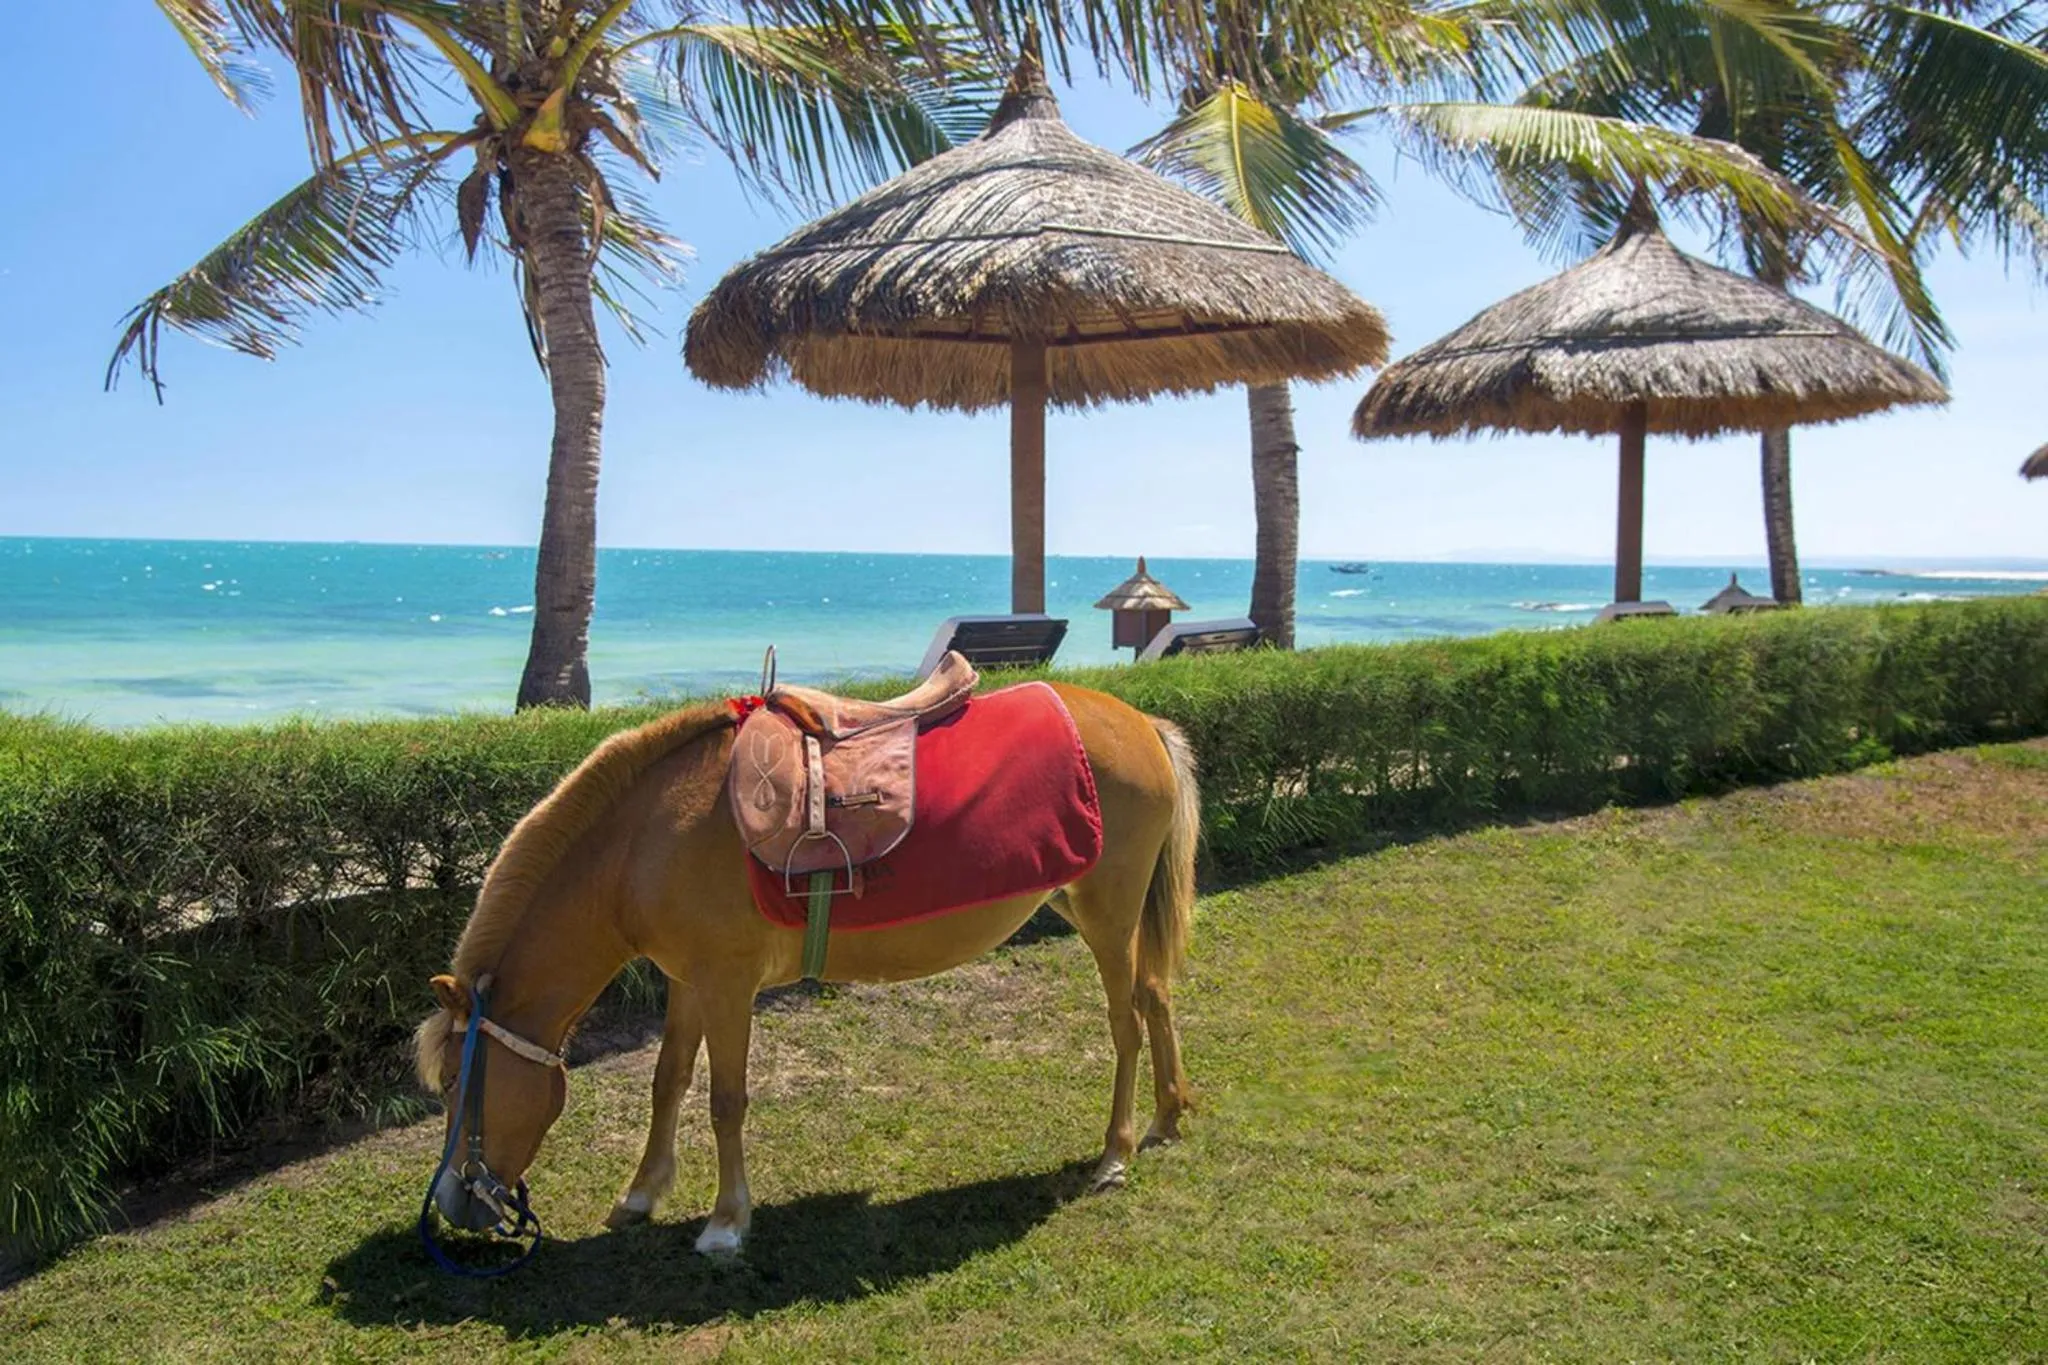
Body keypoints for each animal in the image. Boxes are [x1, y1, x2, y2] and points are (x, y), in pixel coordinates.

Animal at [414, 681, 1200, 1256]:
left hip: (1107, 913)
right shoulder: (688, 979)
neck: (644, 838)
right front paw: (640, 1194)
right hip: (1095, 907)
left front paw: (726, 1223)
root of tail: (1139, 722)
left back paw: (1115, 1153)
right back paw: (1166, 1116)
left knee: (1126, 1022)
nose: (452, 1202)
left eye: (456, 1081)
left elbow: (725, 1100)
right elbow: (669, 1082)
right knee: (1155, 994)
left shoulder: (728, 984)